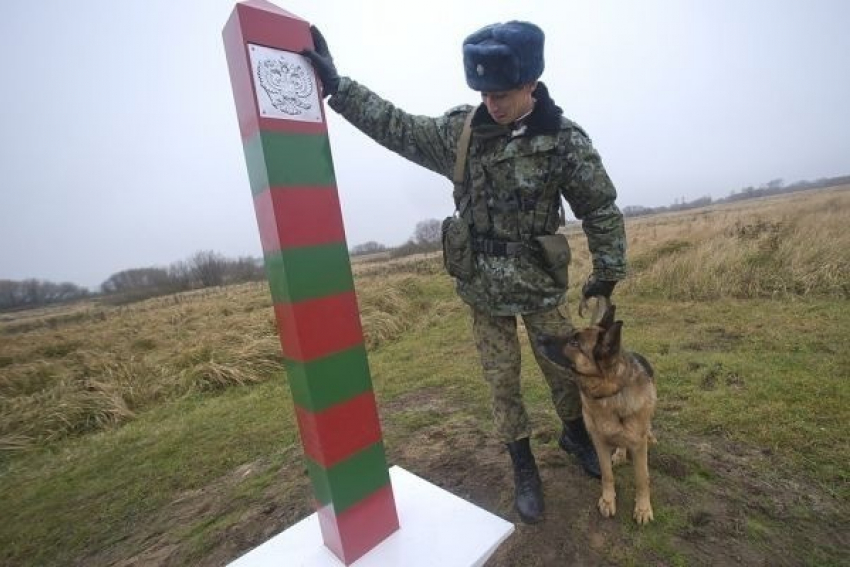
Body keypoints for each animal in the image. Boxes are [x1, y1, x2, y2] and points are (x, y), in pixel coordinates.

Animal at [536, 306, 656, 524]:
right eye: (571, 335)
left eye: (575, 343)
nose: (539, 336)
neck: (608, 394)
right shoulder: (599, 442)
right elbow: (607, 474)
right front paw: (608, 500)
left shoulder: (638, 444)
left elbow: (642, 479)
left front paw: (643, 509)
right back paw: (619, 453)